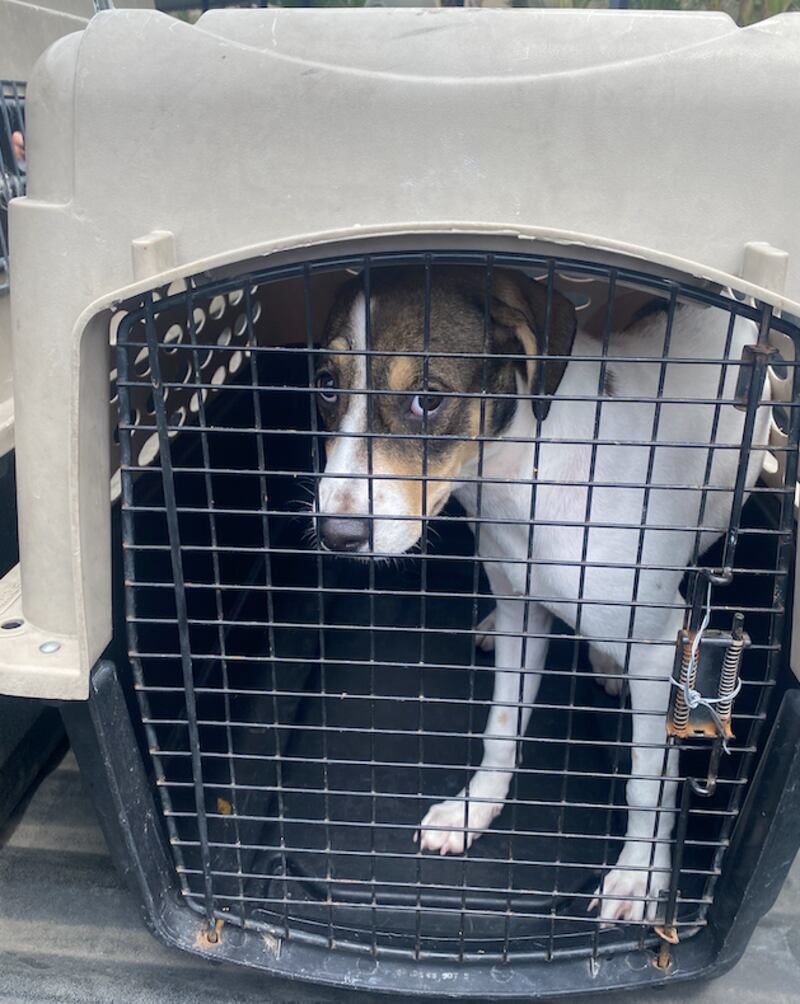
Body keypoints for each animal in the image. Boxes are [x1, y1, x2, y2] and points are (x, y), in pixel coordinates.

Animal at [311, 267, 766, 923]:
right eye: (326, 387)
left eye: (428, 399)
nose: (336, 535)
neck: (516, 480)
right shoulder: (522, 610)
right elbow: (502, 725)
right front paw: (474, 808)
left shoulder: (661, 648)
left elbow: (649, 780)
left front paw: (639, 877)